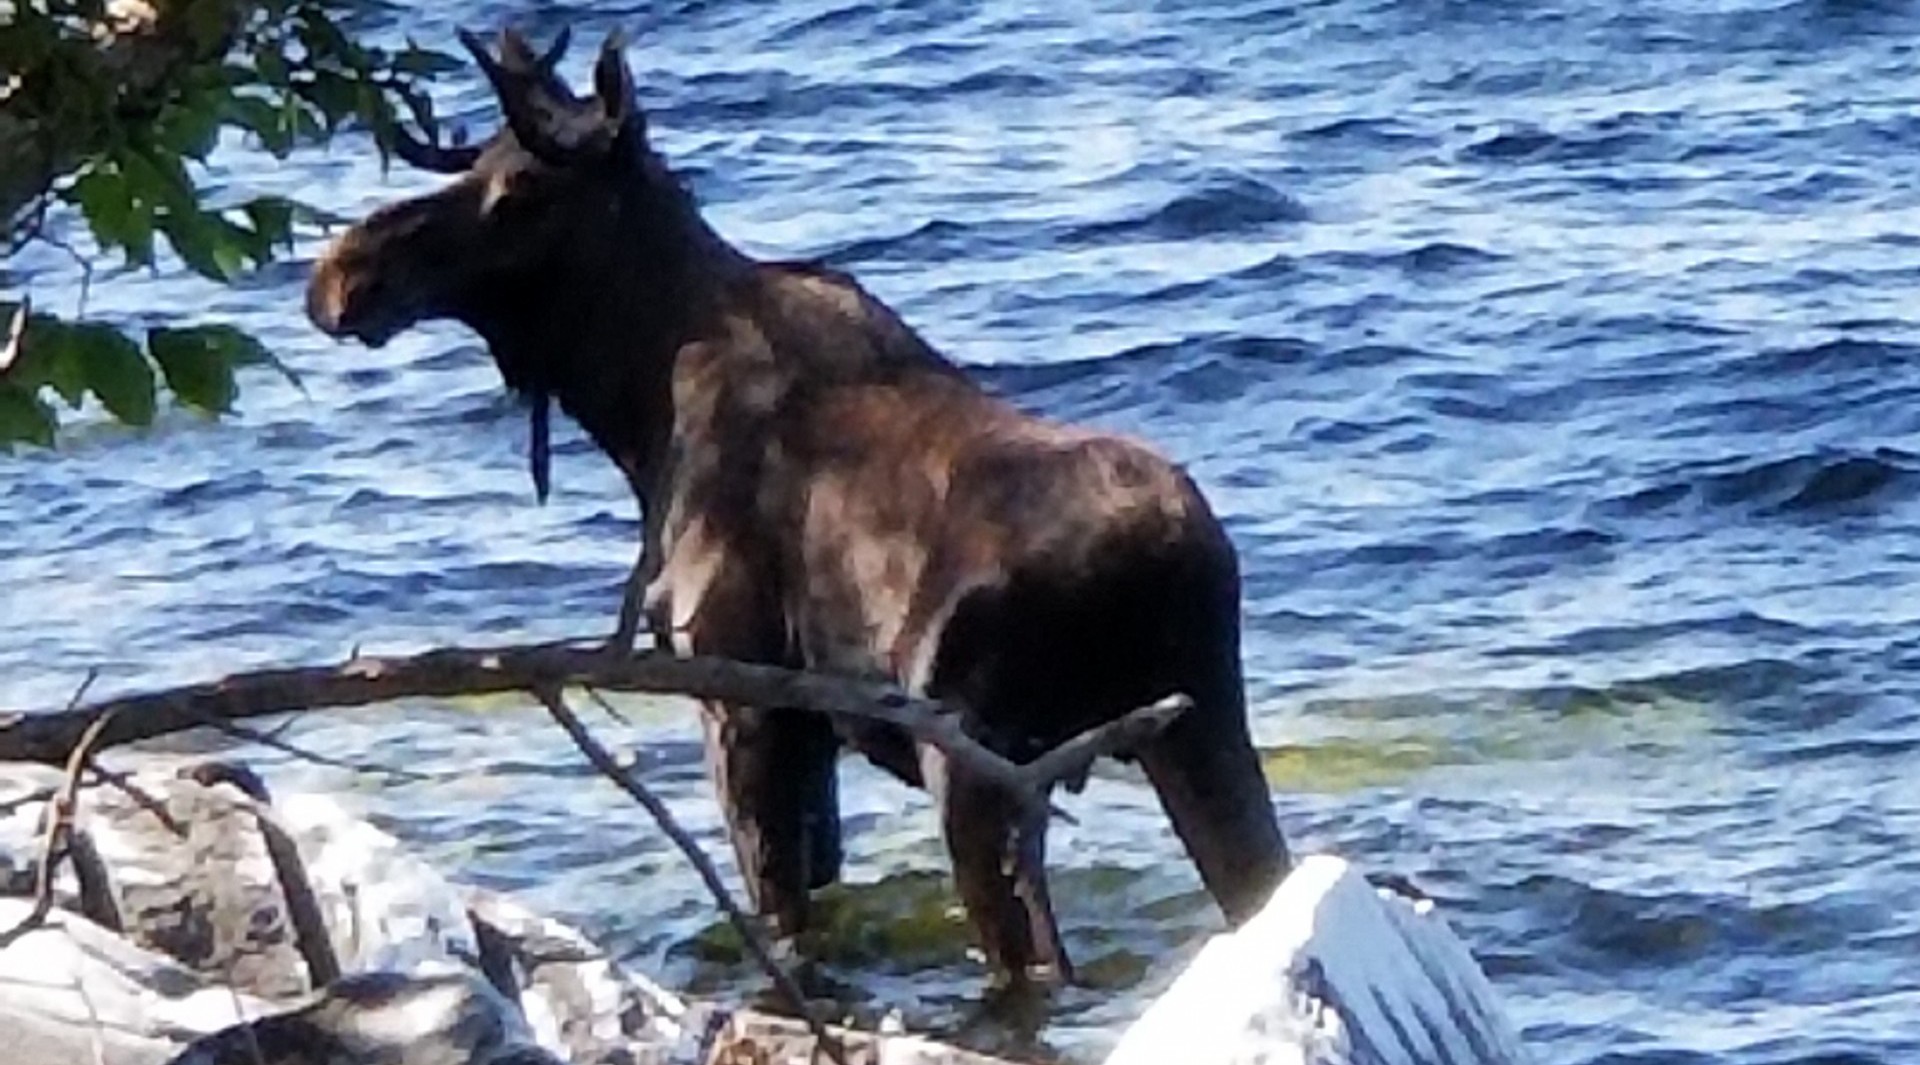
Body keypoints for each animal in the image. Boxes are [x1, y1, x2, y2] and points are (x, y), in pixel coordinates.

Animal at [307, 27, 1290, 990]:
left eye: (519, 191)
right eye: (474, 167)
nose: (341, 273)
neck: (636, 400)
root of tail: (1150, 559)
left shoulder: (742, 704)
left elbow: (782, 919)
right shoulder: (806, 733)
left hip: (982, 771)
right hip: (1201, 729)